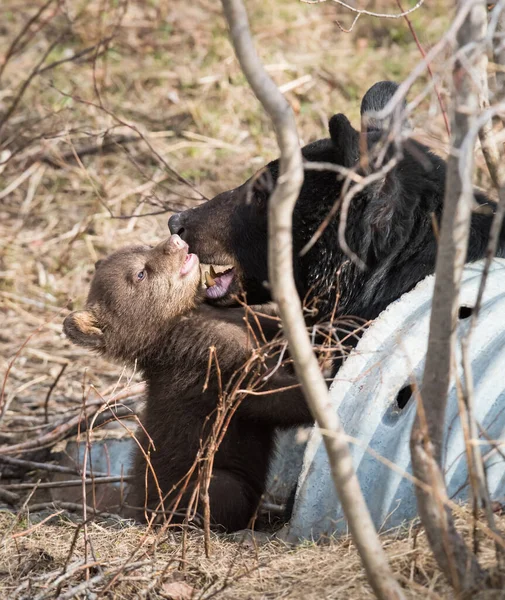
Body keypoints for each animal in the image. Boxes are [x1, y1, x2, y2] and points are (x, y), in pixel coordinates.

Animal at [63, 234, 312, 528]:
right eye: (141, 273)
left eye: (143, 248)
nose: (175, 240)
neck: (183, 317)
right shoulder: (208, 363)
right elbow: (263, 396)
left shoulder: (244, 321)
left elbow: (272, 328)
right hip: (197, 485)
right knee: (221, 490)